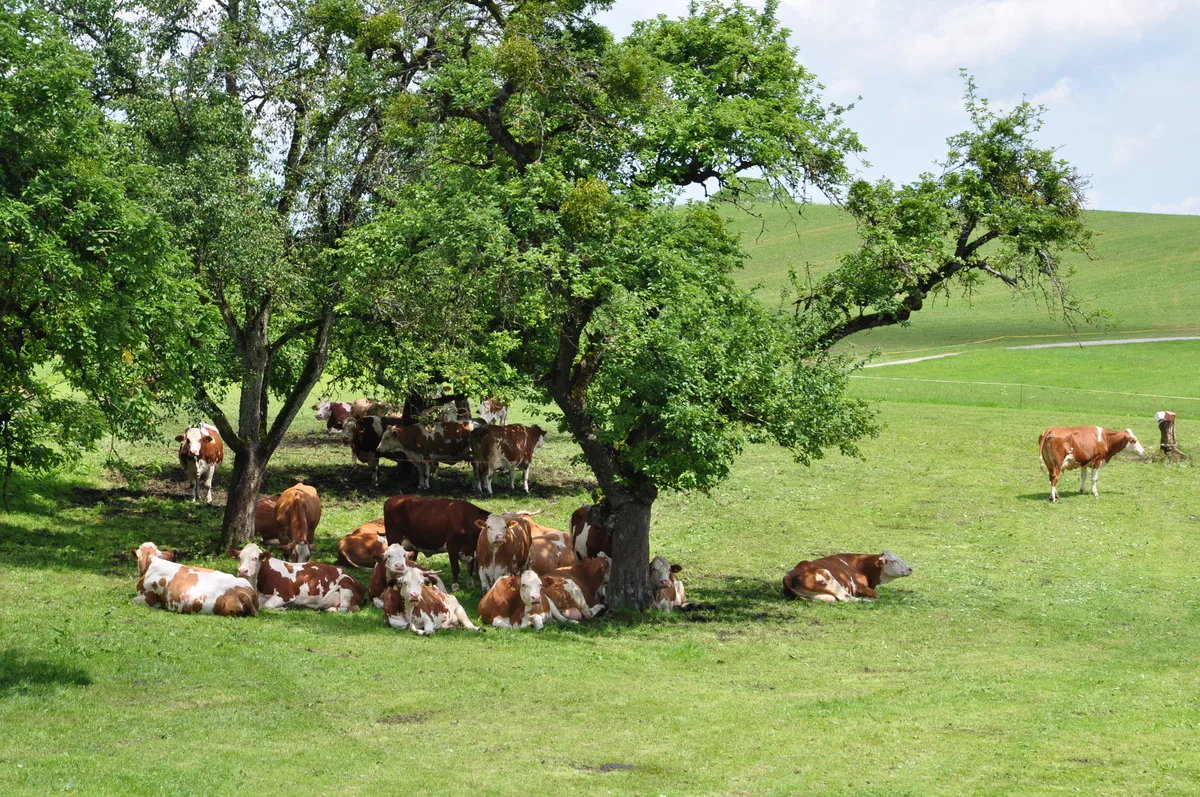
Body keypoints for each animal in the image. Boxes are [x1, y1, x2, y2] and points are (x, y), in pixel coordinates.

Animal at [230, 543, 365, 612]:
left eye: (255, 558)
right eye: (239, 557)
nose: (242, 571)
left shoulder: (286, 594)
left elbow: (267, 606)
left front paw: (282, 609)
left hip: (345, 583)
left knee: (344, 608)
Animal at [782, 550, 913, 603]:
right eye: (893, 560)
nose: (910, 568)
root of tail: (790, 574)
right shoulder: (858, 586)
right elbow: (877, 595)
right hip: (831, 580)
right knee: (846, 598)